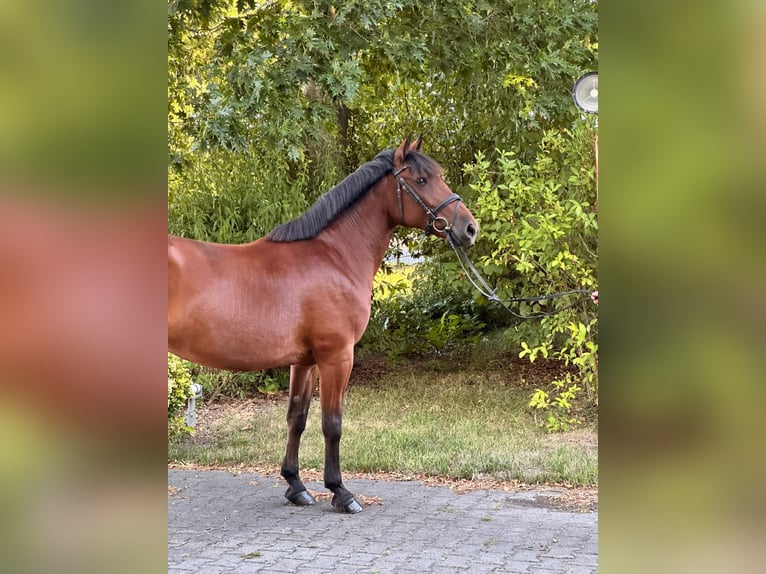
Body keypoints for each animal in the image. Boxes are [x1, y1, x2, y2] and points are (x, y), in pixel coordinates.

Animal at [168, 135, 479, 513]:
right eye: (421, 180)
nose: (469, 228)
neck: (335, 256)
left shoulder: (305, 361)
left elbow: (297, 418)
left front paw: (296, 486)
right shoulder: (337, 356)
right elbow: (332, 424)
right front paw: (341, 492)